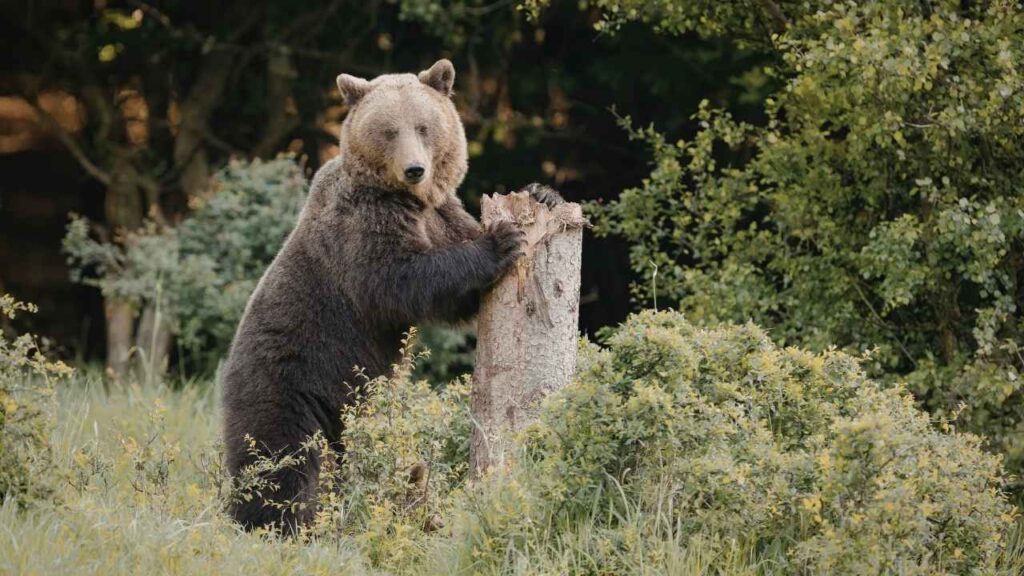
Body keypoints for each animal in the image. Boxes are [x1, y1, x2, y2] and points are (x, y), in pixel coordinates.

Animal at [221, 59, 562, 533]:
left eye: (423, 126)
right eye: (388, 130)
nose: (415, 169)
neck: (410, 200)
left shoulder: (441, 214)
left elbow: (459, 295)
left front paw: (542, 191)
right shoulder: (361, 225)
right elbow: (399, 278)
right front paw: (501, 240)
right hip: (285, 384)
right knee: (281, 460)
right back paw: (279, 523)